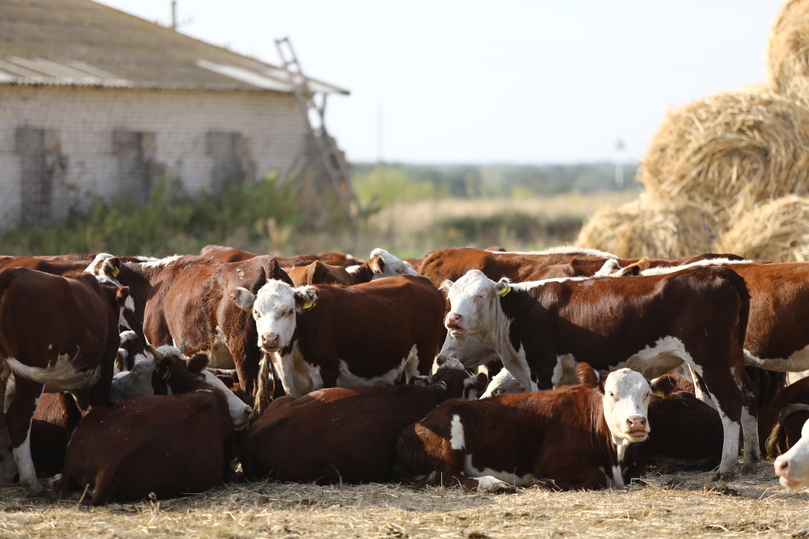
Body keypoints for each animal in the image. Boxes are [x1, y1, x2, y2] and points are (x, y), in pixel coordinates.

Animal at [0, 268, 133, 496]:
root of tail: (11, 274)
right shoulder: (104, 371)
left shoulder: (63, 385)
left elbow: (72, 422)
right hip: (31, 376)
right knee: (19, 419)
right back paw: (32, 483)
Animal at [392, 364, 652, 492]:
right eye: (612, 394)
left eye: (647, 394)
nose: (637, 421)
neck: (615, 456)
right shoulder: (551, 462)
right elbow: (596, 477)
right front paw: (548, 484)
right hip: (451, 435)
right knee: (449, 476)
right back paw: (492, 484)